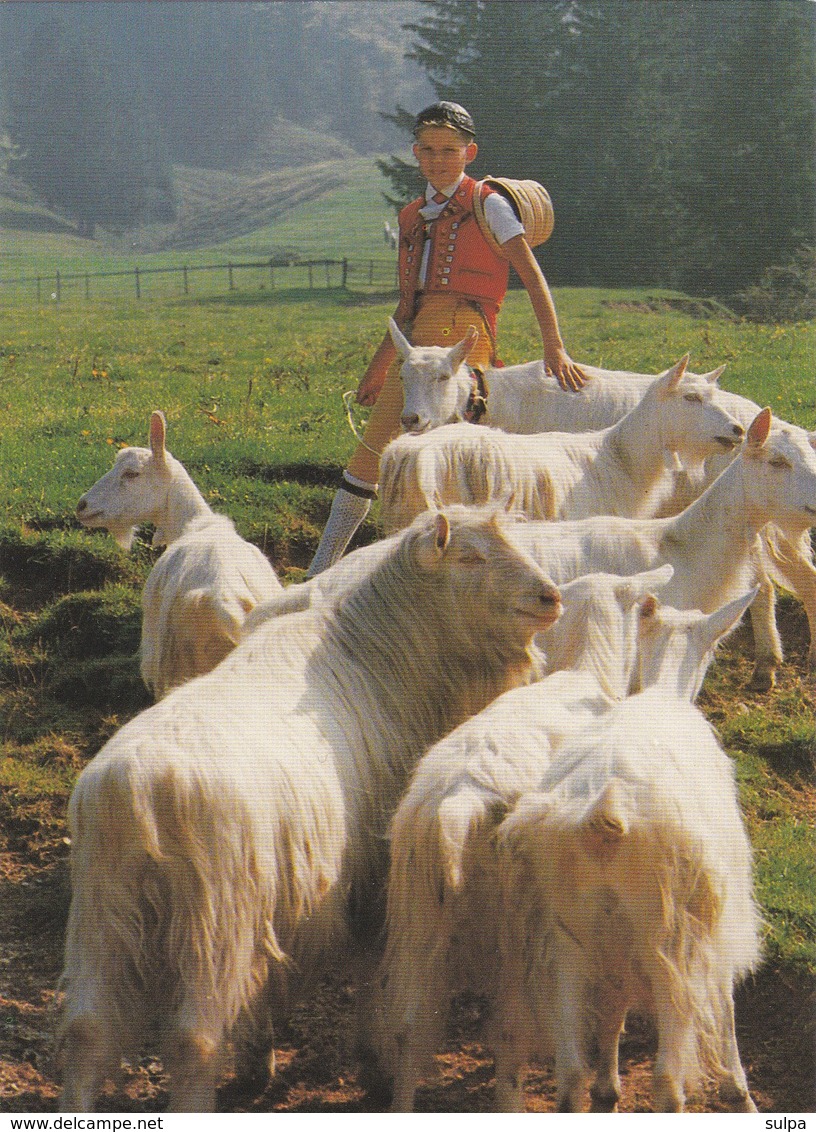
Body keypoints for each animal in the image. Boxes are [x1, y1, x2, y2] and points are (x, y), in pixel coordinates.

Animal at [54, 509, 556, 1109]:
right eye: (470, 557)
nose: (551, 597)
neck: (382, 657)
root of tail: (135, 791)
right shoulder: (368, 878)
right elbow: (370, 972)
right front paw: (374, 1065)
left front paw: (260, 1060)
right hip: (216, 917)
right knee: (192, 1040)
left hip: (102, 913)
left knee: (87, 1031)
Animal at [495, 688, 756, 1113]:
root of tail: (603, 817)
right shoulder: (714, 929)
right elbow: (726, 1004)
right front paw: (739, 1091)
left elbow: (612, 1007)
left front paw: (607, 1087)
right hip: (667, 940)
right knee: (667, 1077)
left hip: (567, 939)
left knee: (570, 1070)